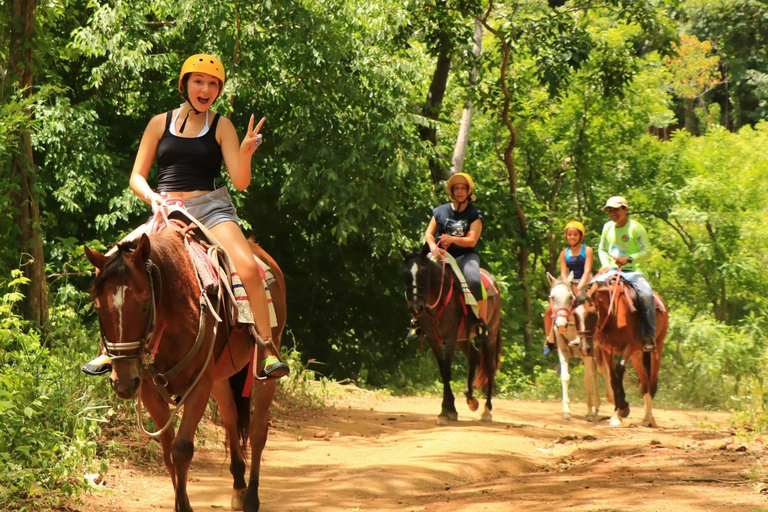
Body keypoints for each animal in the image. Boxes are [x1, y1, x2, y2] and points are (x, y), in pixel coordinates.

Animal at [84, 225, 286, 512]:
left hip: (262, 366)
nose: (123, 382)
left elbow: (181, 449)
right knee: (231, 416)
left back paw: (251, 499)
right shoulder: (149, 389)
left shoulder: (198, 385)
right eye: (99, 307)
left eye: (145, 305)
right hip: (220, 376)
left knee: (258, 429)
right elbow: (168, 451)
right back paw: (238, 487)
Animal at [402, 247, 504, 424]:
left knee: (490, 367)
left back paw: (487, 411)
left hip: (489, 334)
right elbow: (443, 370)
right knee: (475, 356)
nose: (416, 307)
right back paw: (471, 399)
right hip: (462, 339)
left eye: (424, 272)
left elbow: (447, 371)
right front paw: (448, 410)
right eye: (405, 273)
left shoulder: (450, 338)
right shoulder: (433, 339)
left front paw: (446, 411)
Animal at [544, 272, 616, 420]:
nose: (561, 324)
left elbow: (587, 379)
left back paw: (610, 400)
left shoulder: (586, 352)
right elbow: (565, 377)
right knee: (595, 372)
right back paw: (597, 406)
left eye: (570, 297)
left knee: (606, 370)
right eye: (552, 297)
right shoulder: (563, 350)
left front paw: (589, 412)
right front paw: (566, 410)